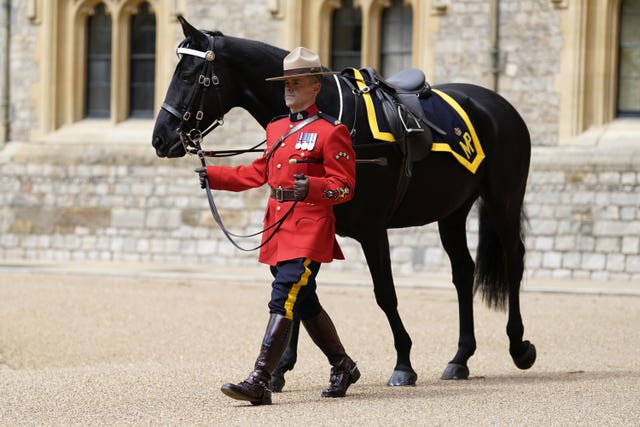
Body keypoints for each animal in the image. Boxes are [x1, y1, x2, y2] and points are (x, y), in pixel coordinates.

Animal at [152, 17, 536, 388]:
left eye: (188, 75)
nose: (160, 138)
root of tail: (498, 105)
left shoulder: (372, 229)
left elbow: (384, 294)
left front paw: (403, 363)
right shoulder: (318, 229)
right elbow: (302, 293)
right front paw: (280, 370)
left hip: (503, 200)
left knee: (514, 259)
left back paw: (518, 346)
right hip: (452, 211)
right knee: (463, 271)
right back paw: (460, 358)